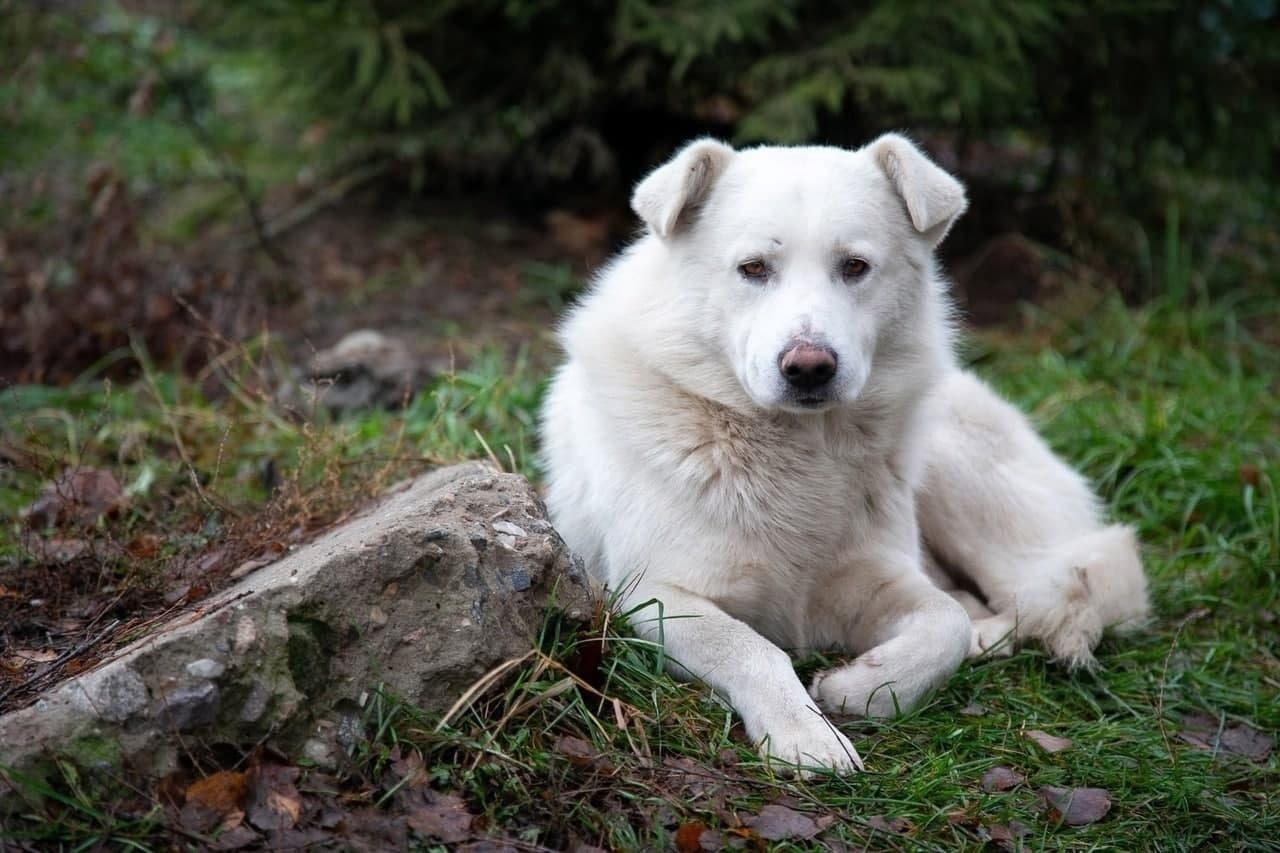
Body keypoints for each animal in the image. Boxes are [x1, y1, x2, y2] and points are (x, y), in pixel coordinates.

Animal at [540, 133, 1152, 768]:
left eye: (854, 267)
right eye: (753, 269)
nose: (809, 368)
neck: (798, 449)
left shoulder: (875, 581)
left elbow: (945, 623)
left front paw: (863, 689)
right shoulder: (651, 595)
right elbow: (751, 647)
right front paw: (805, 736)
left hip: (962, 481)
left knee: (1055, 585)